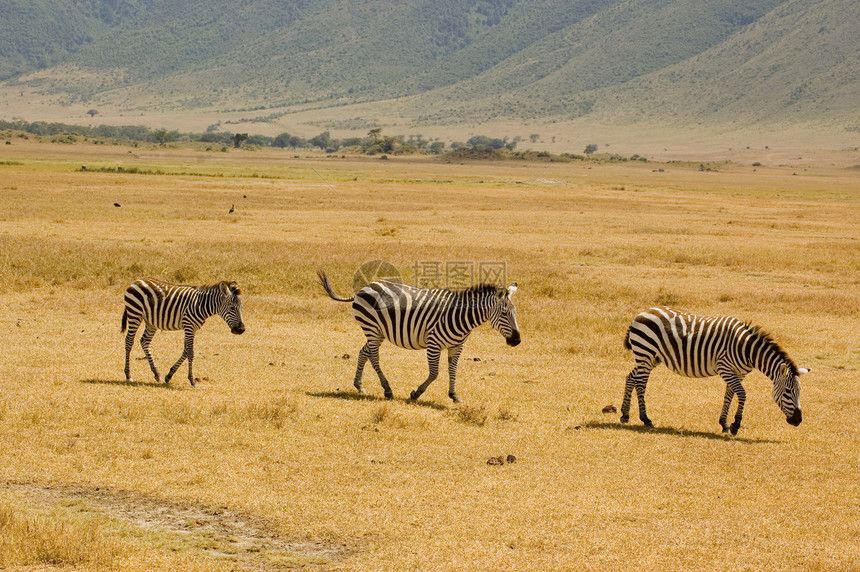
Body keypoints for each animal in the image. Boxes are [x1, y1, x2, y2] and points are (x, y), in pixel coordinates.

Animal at [320, 272, 520, 402]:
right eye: (504, 313)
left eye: (515, 312)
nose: (517, 340)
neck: (461, 316)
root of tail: (364, 287)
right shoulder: (434, 344)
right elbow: (434, 373)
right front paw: (416, 393)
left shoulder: (457, 346)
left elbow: (453, 370)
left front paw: (454, 395)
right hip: (372, 328)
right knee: (374, 357)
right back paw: (387, 389)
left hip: (377, 332)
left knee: (364, 352)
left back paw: (359, 385)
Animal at [620, 308, 804, 434]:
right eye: (788, 391)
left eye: (799, 392)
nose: (798, 420)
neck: (747, 349)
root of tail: (641, 313)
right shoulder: (726, 369)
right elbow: (742, 394)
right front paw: (735, 425)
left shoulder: (738, 373)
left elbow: (729, 396)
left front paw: (724, 424)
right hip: (646, 352)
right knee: (641, 384)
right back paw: (645, 419)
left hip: (652, 357)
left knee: (631, 378)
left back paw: (625, 415)